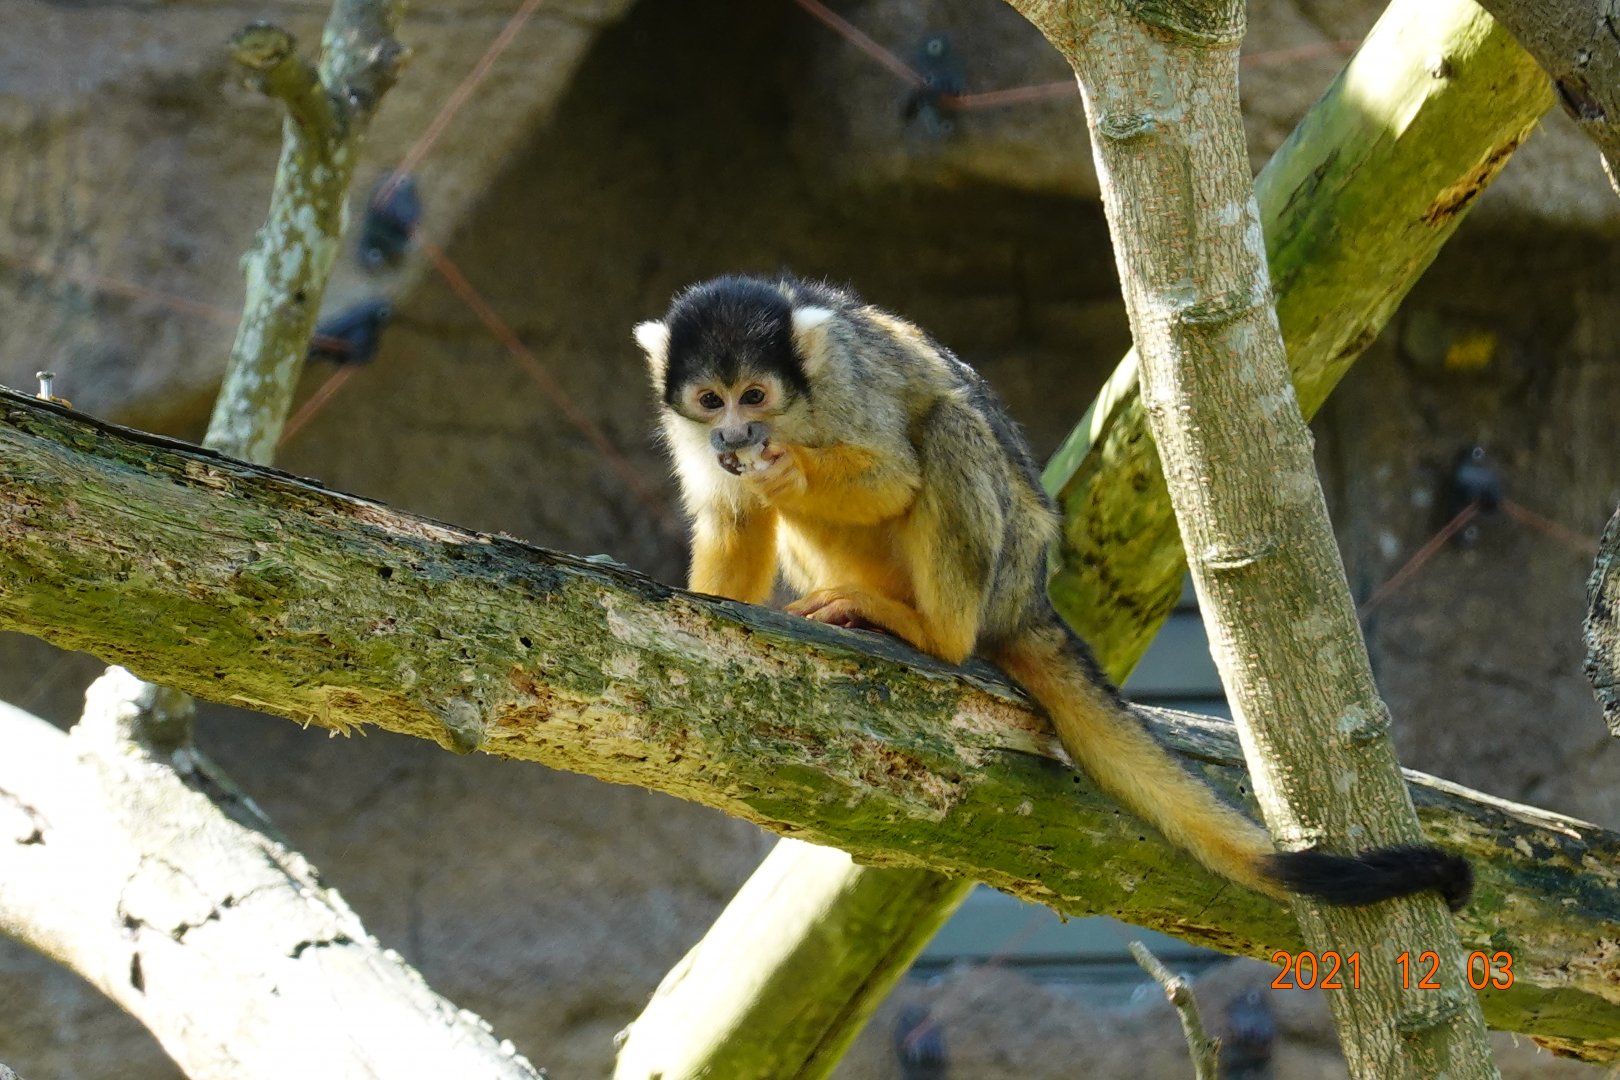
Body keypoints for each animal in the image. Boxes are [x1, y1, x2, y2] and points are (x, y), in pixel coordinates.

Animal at [634, 273, 1472, 912]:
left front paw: (792, 470)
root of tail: (1031, 593)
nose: (735, 436)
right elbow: (735, 514)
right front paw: (717, 602)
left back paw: (932, 631)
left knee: (950, 429)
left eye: (754, 395)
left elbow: (892, 473)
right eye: (711, 400)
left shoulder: (840, 383)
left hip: (1004, 565)